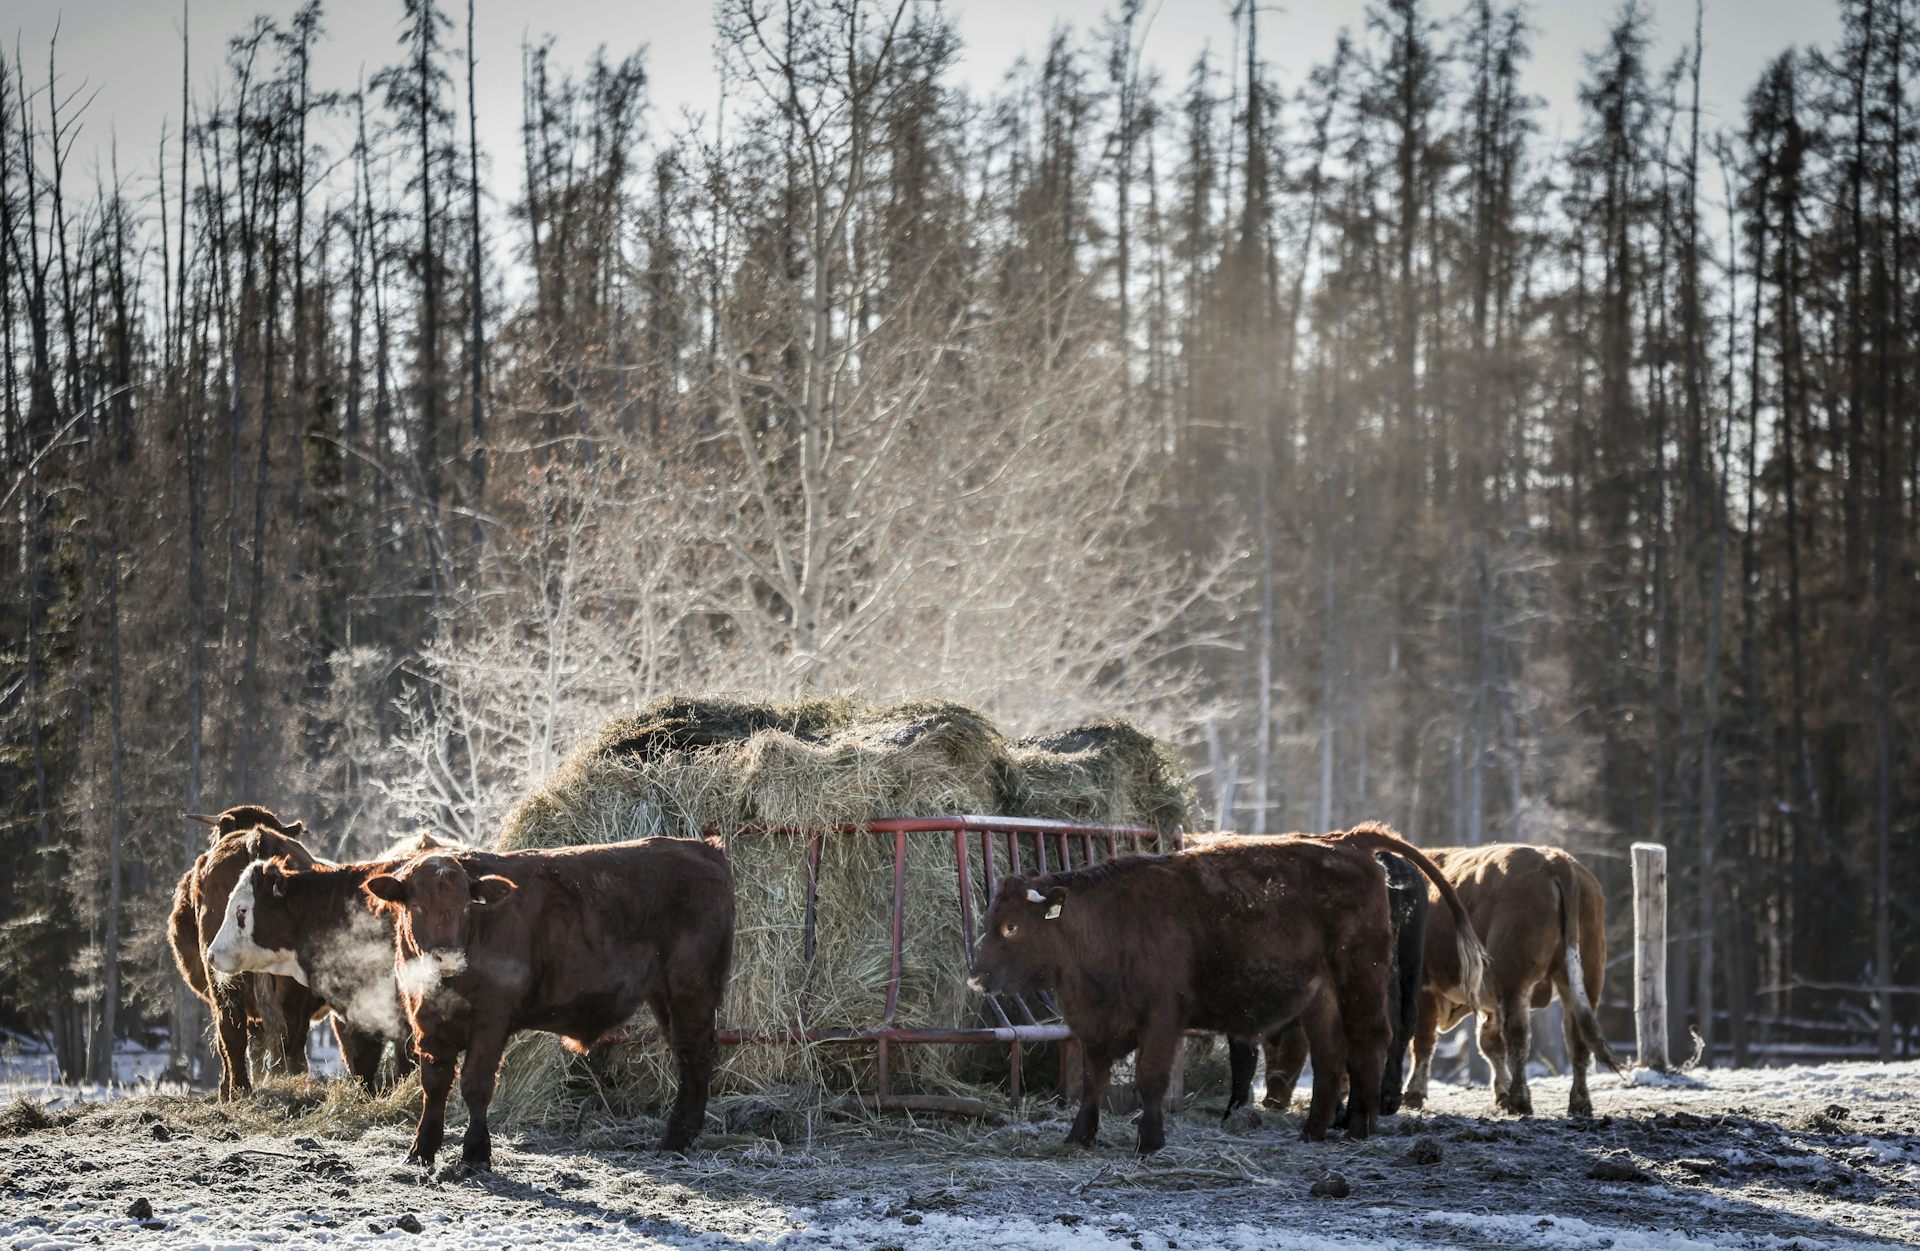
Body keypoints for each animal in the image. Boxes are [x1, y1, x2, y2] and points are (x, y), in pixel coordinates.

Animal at [360, 839, 734, 1171]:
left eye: (467, 906)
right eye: (416, 907)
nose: (448, 957)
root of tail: (702, 849)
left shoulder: (490, 1019)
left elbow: (475, 1084)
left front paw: (476, 1155)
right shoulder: (426, 1019)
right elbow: (434, 1085)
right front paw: (421, 1151)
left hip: (691, 990)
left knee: (695, 1057)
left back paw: (675, 1141)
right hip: (666, 997)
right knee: (688, 1056)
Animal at [1399, 843, 1622, 1118]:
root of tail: (1555, 859)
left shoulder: (1425, 986)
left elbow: (1423, 1041)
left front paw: (1414, 1093)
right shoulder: (1490, 1000)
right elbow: (1489, 1043)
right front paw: (1502, 1091)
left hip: (1516, 981)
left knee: (1519, 1036)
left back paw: (1520, 1099)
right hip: (1586, 976)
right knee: (1577, 1039)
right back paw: (1579, 1103)